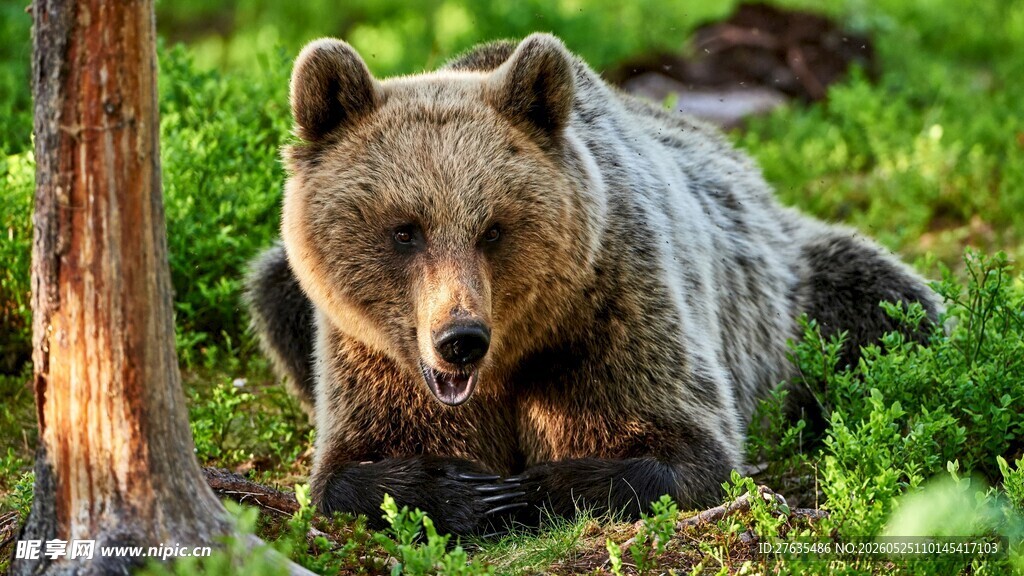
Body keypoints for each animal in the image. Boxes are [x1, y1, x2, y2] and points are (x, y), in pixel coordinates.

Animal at [246, 33, 940, 536]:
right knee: (272, 287)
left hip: (798, 288)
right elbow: (346, 471)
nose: (460, 338)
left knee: (889, 310)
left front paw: (527, 489)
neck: (511, 357)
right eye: (404, 230)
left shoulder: (616, 311)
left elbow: (688, 452)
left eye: (492, 228)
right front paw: (461, 488)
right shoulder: (370, 355)